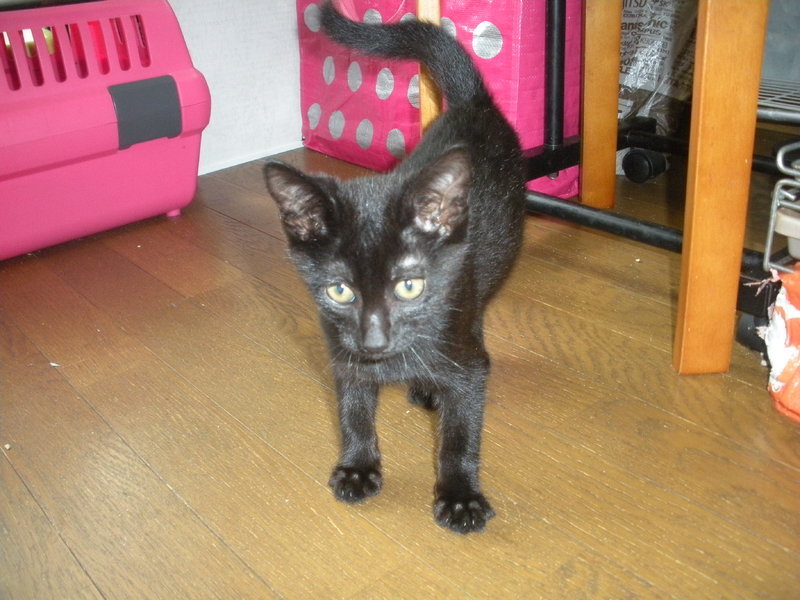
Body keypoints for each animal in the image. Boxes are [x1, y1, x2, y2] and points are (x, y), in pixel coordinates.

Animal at [263, 0, 525, 533]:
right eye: (339, 291)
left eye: (409, 286)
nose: (374, 340)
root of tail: (473, 105)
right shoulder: (342, 352)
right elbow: (353, 409)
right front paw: (358, 465)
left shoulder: (466, 361)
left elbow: (461, 429)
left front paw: (460, 494)